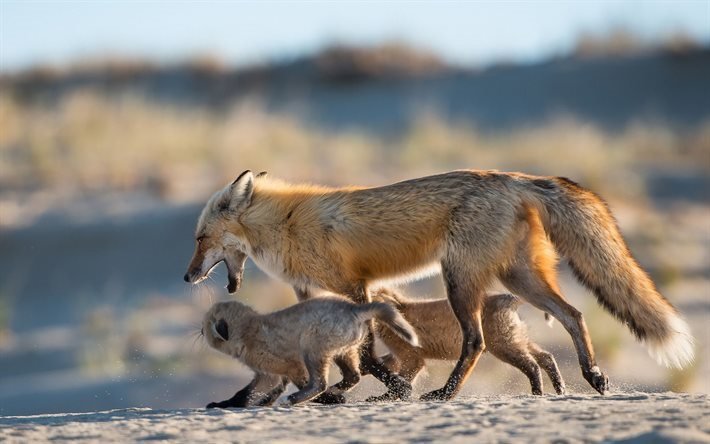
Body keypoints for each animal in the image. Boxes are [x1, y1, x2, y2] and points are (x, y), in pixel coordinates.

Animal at [184, 169, 696, 398]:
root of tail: (516, 177)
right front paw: (343, 389)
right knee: (573, 314)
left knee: (476, 340)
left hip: (460, 280)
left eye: (199, 238)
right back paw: (590, 376)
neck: (288, 225)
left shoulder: (354, 287)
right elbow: (350, 352)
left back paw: (446, 393)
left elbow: (367, 354)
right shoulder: (314, 294)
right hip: (518, 276)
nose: (187, 276)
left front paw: (392, 387)